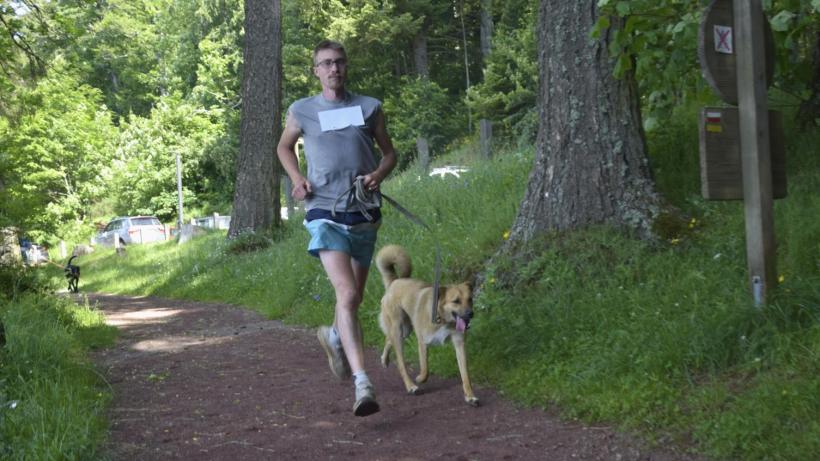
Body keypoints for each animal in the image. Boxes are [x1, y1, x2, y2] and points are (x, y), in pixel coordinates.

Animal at [374, 243, 478, 404]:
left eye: (470, 299)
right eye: (456, 301)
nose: (470, 314)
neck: (442, 318)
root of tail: (395, 281)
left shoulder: (459, 343)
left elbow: (465, 375)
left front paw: (470, 395)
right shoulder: (423, 342)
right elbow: (425, 369)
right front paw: (419, 378)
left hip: (405, 329)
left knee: (388, 338)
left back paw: (384, 359)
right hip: (399, 330)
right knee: (401, 363)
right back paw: (411, 386)